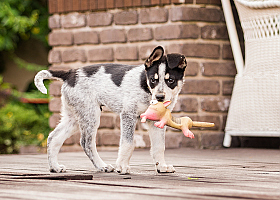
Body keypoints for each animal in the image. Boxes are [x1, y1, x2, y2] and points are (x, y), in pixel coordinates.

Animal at [35, 46, 188, 174]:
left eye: (171, 80)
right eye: (152, 80)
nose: (160, 97)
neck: (145, 87)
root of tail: (70, 73)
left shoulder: (156, 122)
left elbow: (159, 146)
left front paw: (162, 166)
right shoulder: (128, 115)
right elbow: (127, 143)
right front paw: (122, 166)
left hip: (74, 117)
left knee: (53, 138)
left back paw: (55, 167)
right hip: (91, 115)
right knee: (86, 143)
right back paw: (102, 166)